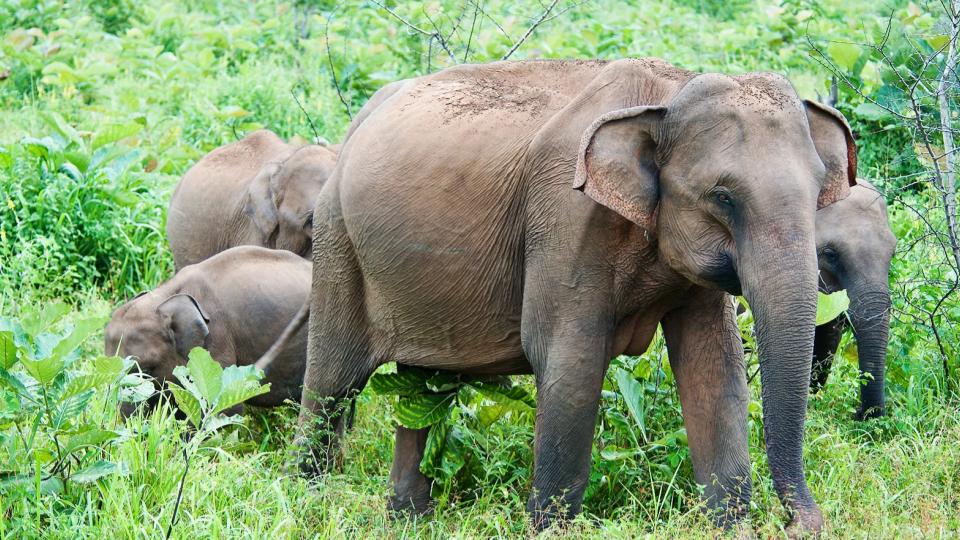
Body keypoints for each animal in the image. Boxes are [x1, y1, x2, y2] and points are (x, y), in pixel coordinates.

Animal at [291, 58, 857, 535]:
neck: (667, 94)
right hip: (337, 240)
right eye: (722, 197)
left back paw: (408, 521)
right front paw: (549, 530)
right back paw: (311, 502)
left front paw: (732, 528)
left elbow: (714, 367)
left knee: (422, 389)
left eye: (819, 190)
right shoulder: (565, 217)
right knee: (332, 383)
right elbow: (571, 360)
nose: (799, 524)